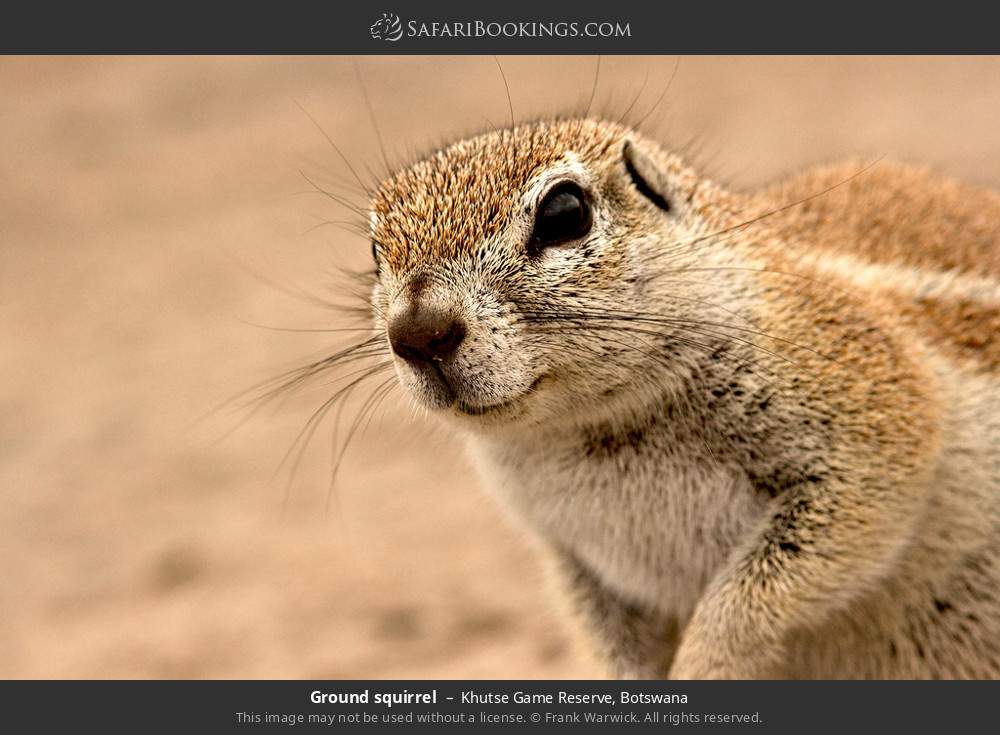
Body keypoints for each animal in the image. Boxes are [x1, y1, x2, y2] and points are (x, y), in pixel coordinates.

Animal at [365, 118, 1000, 679]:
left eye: (565, 213)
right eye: (374, 250)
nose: (418, 332)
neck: (597, 428)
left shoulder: (868, 411)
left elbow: (743, 600)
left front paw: (704, 665)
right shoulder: (575, 557)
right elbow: (610, 637)